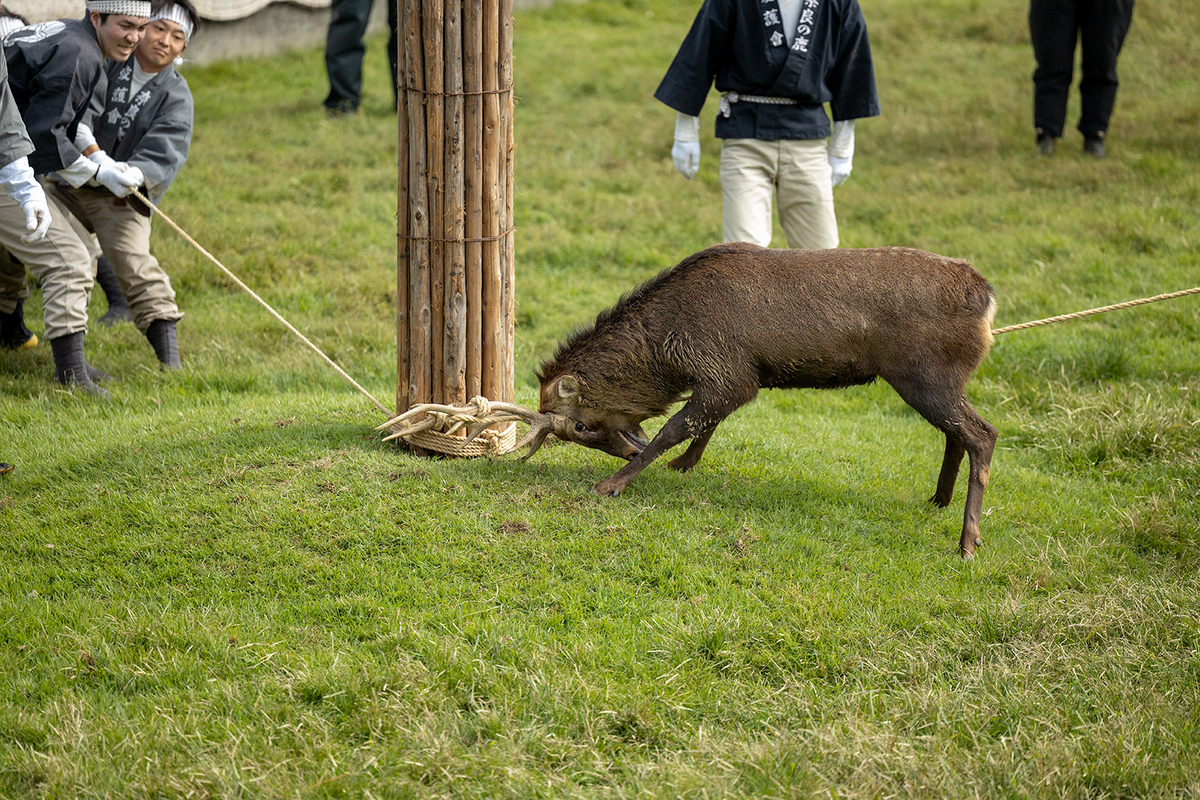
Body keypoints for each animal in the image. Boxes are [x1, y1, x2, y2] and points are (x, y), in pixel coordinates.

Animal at [511, 244, 998, 556]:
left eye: (580, 426)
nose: (627, 449)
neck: (669, 348)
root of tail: (988, 299)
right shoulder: (738, 377)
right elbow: (704, 426)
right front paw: (683, 465)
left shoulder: (727, 370)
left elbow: (676, 427)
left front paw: (613, 483)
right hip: (942, 381)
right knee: (957, 434)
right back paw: (939, 499)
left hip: (924, 375)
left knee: (983, 433)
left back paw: (967, 541)